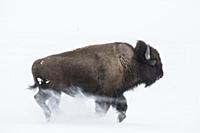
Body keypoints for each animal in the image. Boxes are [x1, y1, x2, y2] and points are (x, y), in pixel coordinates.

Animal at [28, 40, 163, 122]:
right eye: (154, 62)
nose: (161, 74)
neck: (129, 61)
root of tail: (37, 63)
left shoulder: (117, 93)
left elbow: (123, 106)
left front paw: (120, 118)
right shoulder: (105, 95)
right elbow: (101, 110)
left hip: (55, 91)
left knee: (48, 102)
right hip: (51, 89)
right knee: (43, 100)